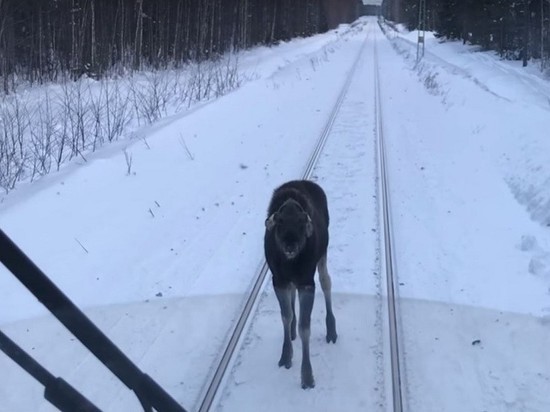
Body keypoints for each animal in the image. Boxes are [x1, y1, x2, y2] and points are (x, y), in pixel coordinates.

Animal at [266, 179, 338, 388]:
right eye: (280, 221)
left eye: (301, 222)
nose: (290, 245)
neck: (290, 263)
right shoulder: (279, 279)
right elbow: (286, 316)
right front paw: (285, 357)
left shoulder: (306, 281)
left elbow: (305, 327)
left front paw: (307, 377)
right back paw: (291, 331)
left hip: (322, 255)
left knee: (326, 281)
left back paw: (332, 331)